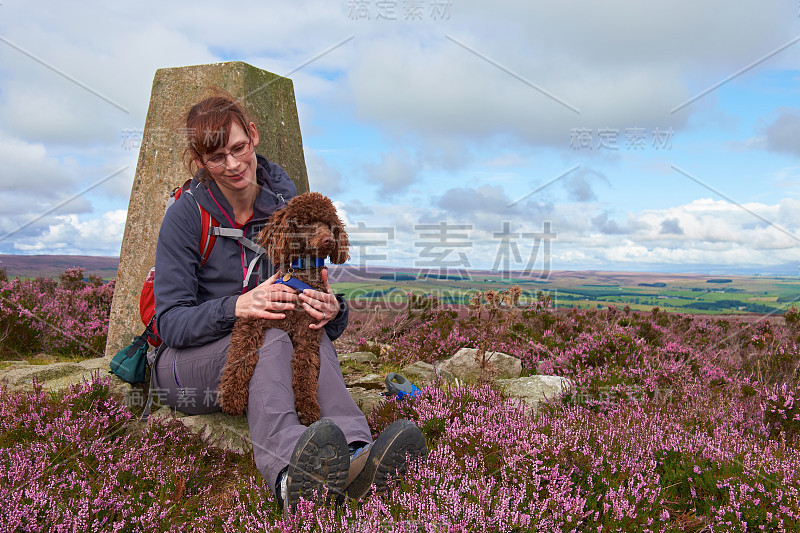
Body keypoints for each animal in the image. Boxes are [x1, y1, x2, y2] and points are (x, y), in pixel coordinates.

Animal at [216, 191, 350, 424]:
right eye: (306, 223)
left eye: (328, 223)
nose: (329, 240)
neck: (301, 272)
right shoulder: (253, 318)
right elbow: (240, 354)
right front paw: (231, 395)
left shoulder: (308, 331)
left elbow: (305, 368)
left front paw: (307, 406)